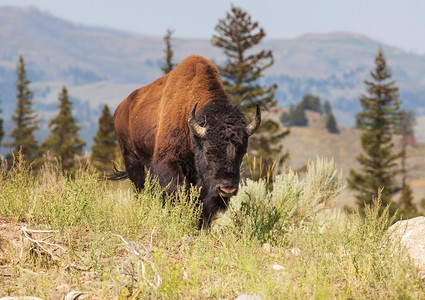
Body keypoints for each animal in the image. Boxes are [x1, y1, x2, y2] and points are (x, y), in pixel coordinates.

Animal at [111, 55, 260, 227]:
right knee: (140, 190)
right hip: (131, 158)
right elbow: (180, 192)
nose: (227, 189)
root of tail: (120, 109)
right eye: (208, 151)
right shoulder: (169, 163)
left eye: (242, 152)